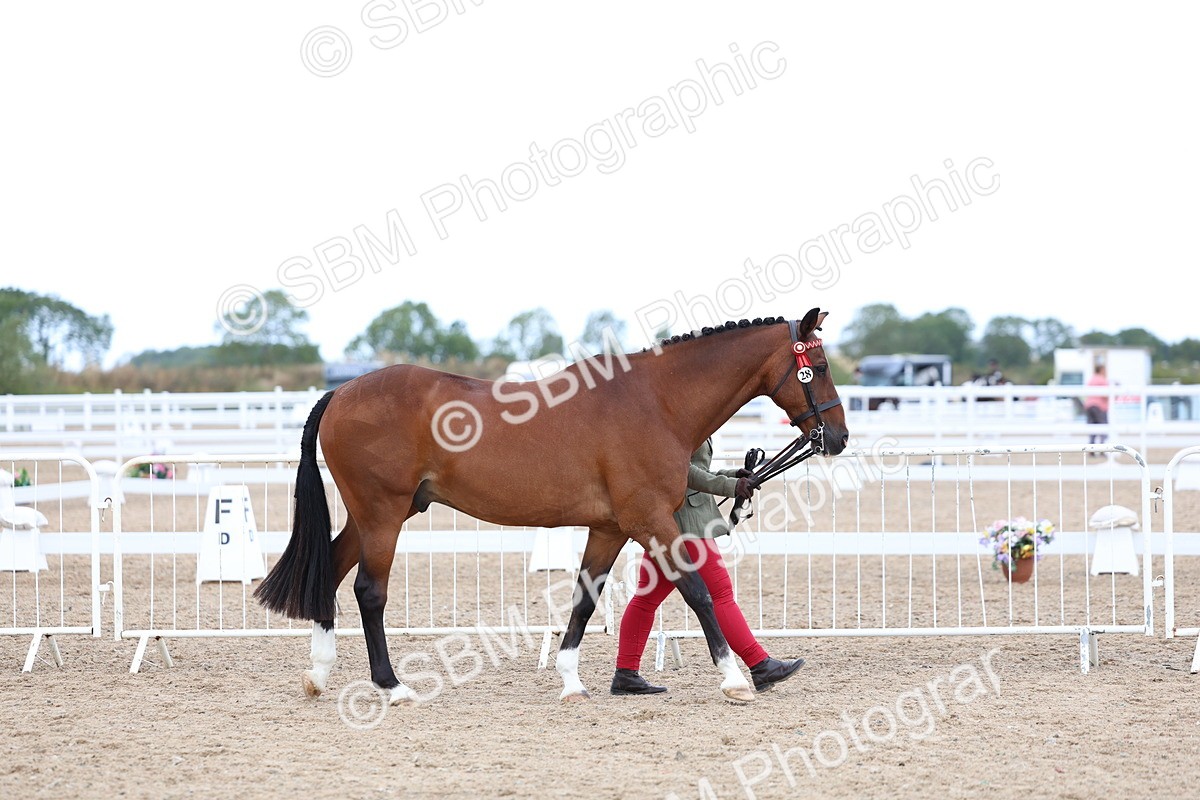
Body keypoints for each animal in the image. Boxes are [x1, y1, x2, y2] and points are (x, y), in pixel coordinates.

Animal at [253, 307, 849, 705]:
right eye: (817, 366)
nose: (838, 437)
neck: (656, 402)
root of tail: (341, 392)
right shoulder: (650, 521)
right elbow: (699, 592)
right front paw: (734, 680)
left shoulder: (611, 528)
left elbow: (585, 601)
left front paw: (571, 680)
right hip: (382, 514)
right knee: (368, 592)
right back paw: (392, 686)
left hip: (380, 514)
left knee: (331, 570)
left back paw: (318, 675)